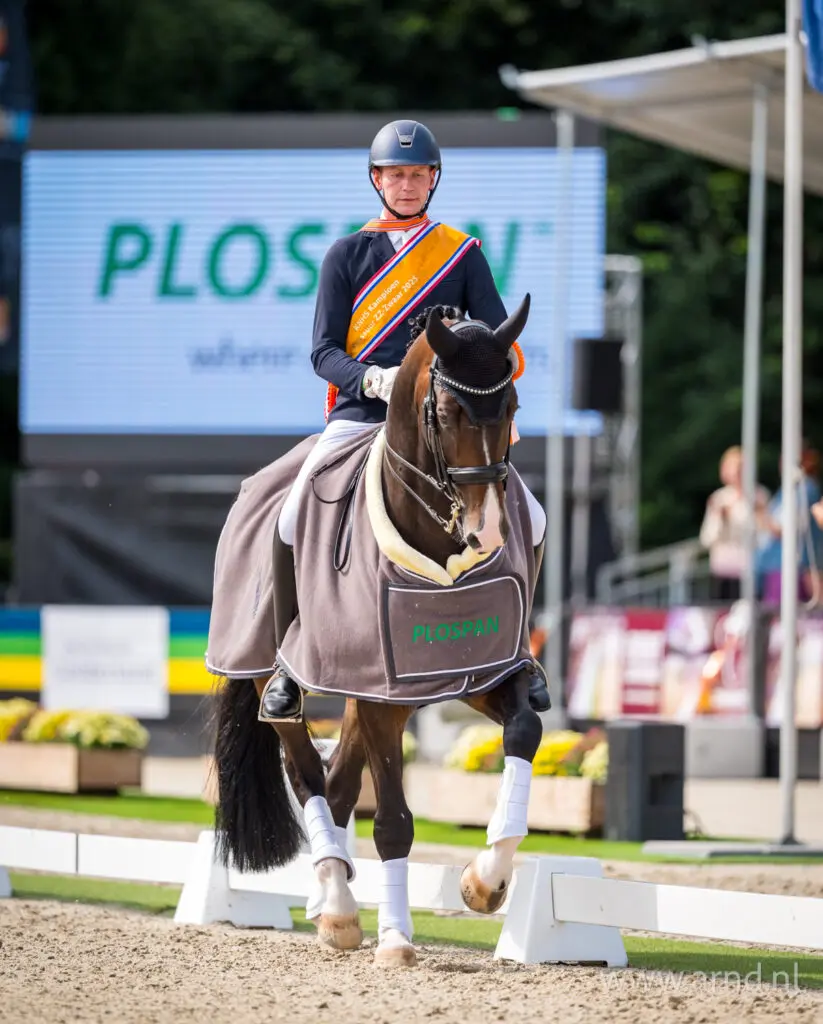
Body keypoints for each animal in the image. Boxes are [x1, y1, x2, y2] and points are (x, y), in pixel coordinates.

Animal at [211, 295, 545, 967]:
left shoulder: (478, 674)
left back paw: (327, 900)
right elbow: (393, 821)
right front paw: (395, 939)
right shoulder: (378, 694)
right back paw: (340, 910)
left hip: (368, 690)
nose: (487, 535)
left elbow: (525, 730)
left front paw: (485, 881)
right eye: (447, 412)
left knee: (339, 783)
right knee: (306, 772)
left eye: (513, 408)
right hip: (286, 677)